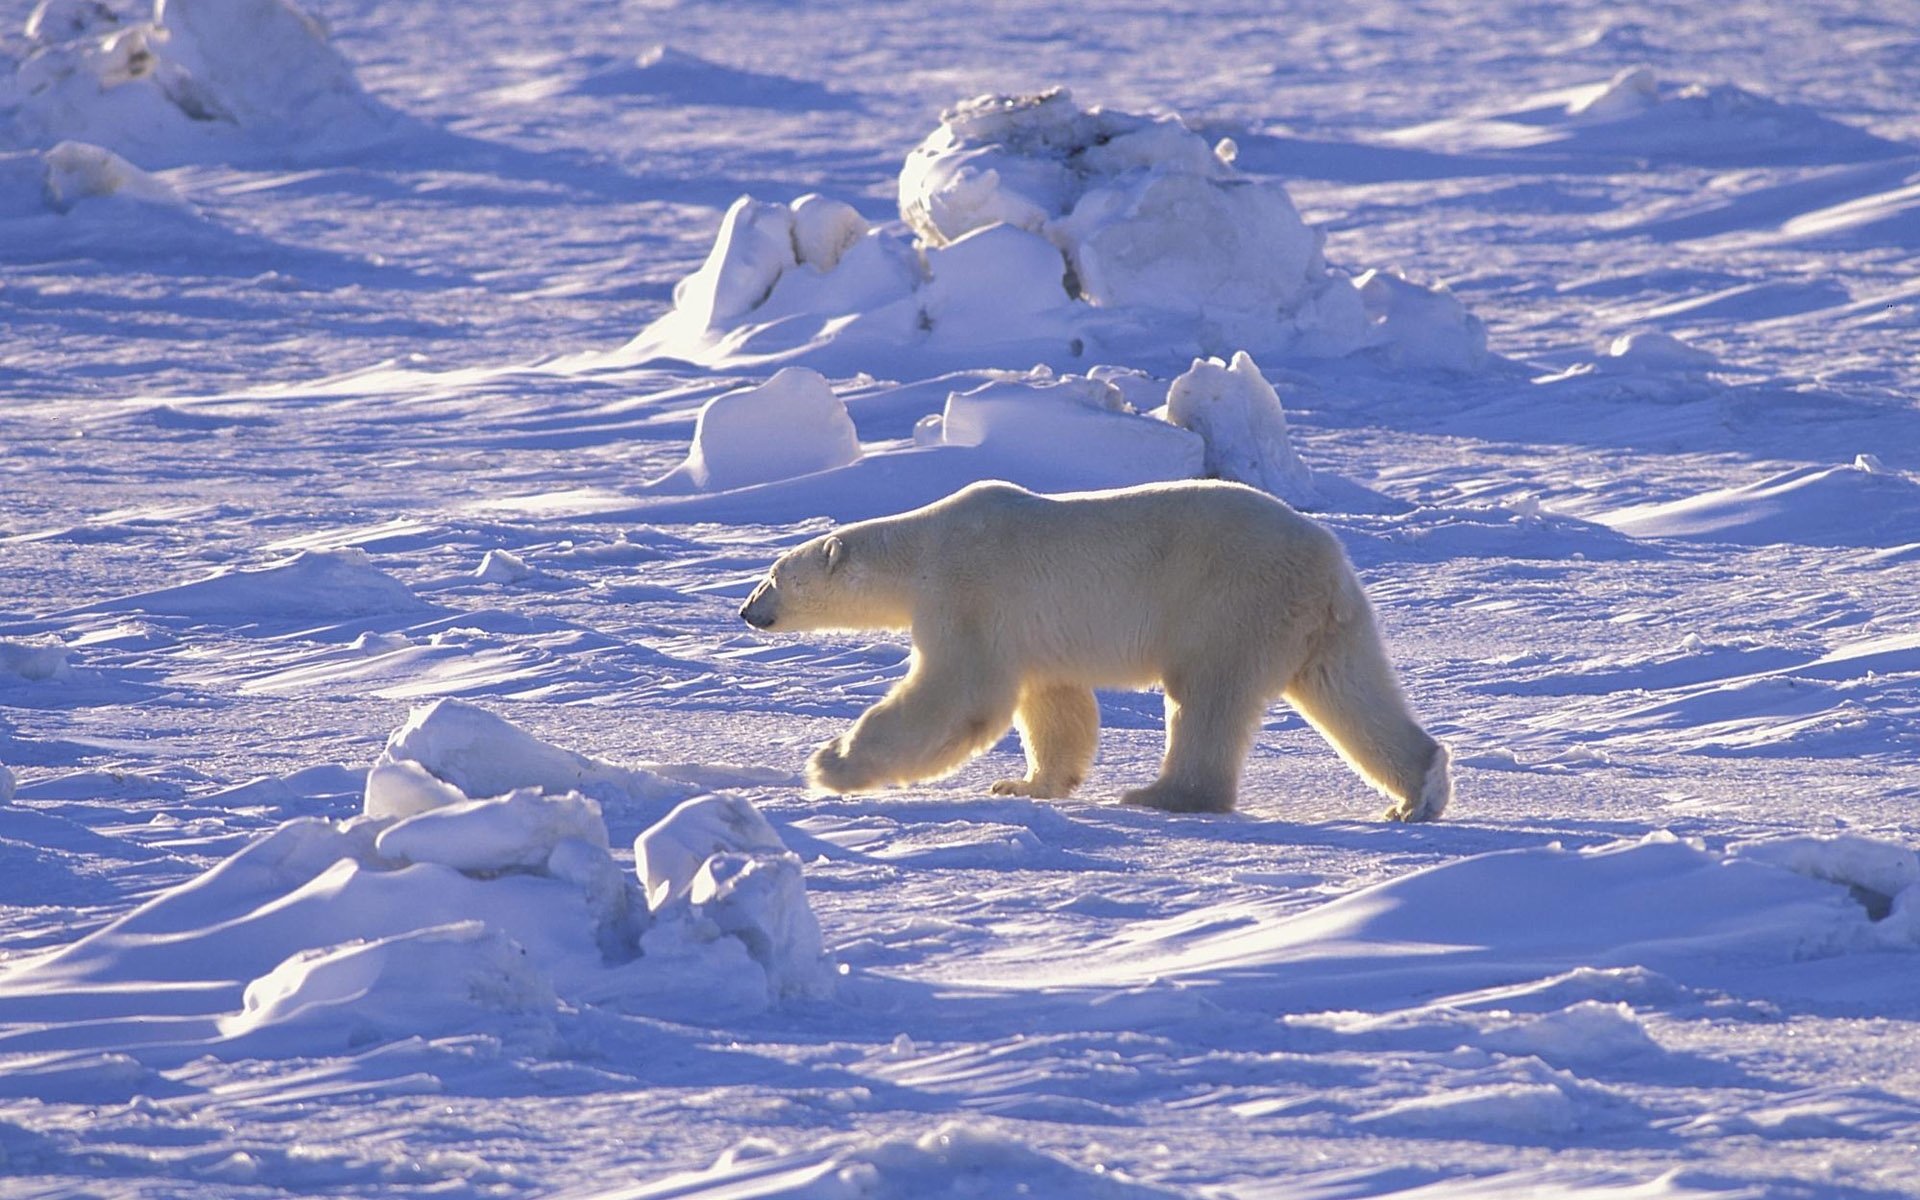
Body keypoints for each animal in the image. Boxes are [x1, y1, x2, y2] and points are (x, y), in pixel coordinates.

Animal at [739, 479, 1451, 821]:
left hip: (1230, 601)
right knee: (1351, 691)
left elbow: (960, 695)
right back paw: (1417, 792)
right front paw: (1024, 783)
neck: (923, 548)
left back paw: (1161, 794)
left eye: (773, 575)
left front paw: (830, 764)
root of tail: (1327, 561)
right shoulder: (1031, 631)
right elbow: (1055, 705)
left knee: (1207, 698)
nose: (747, 611)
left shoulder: (969, 593)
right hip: (1325, 623)